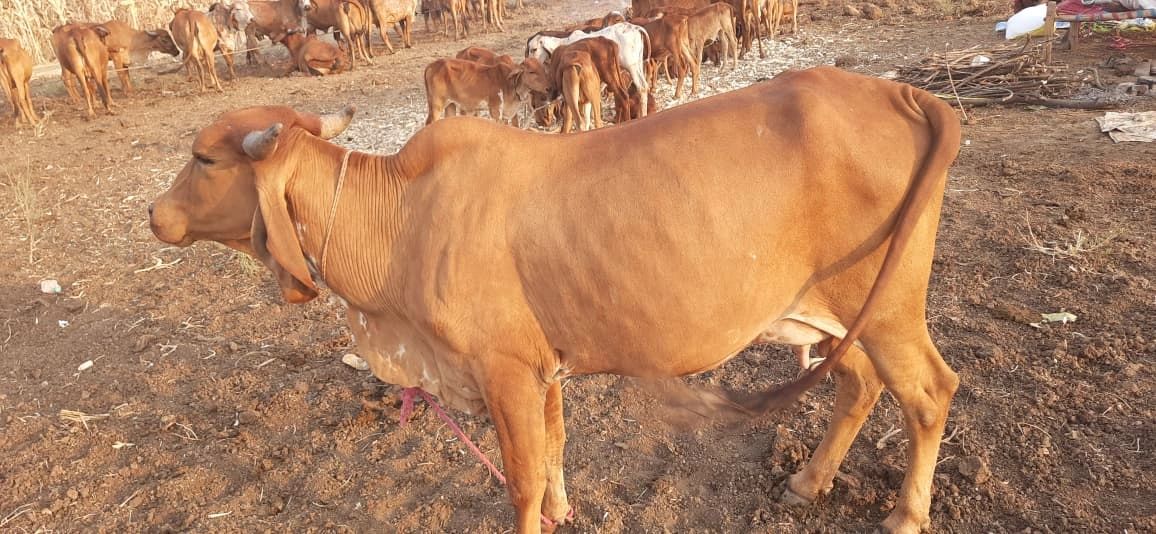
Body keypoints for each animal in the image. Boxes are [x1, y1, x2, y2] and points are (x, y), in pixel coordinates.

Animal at [149, 66, 962, 534]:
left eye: (203, 159)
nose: (155, 214)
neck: (401, 217)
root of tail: (901, 91)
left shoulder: (504, 370)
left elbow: (521, 480)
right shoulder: (541, 368)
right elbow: (555, 452)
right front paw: (565, 509)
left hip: (888, 309)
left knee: (929, 393)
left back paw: (905, 515)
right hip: (830, 318)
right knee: (859, 385)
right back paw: (807, 481)